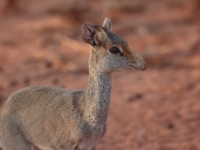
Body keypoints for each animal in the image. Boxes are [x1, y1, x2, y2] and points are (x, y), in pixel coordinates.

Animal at [0, 17, 145, 149]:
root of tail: (5, 106)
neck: (87, 115)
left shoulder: (92, 146)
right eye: (114, 49)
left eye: (126, 42)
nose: (142, 63)